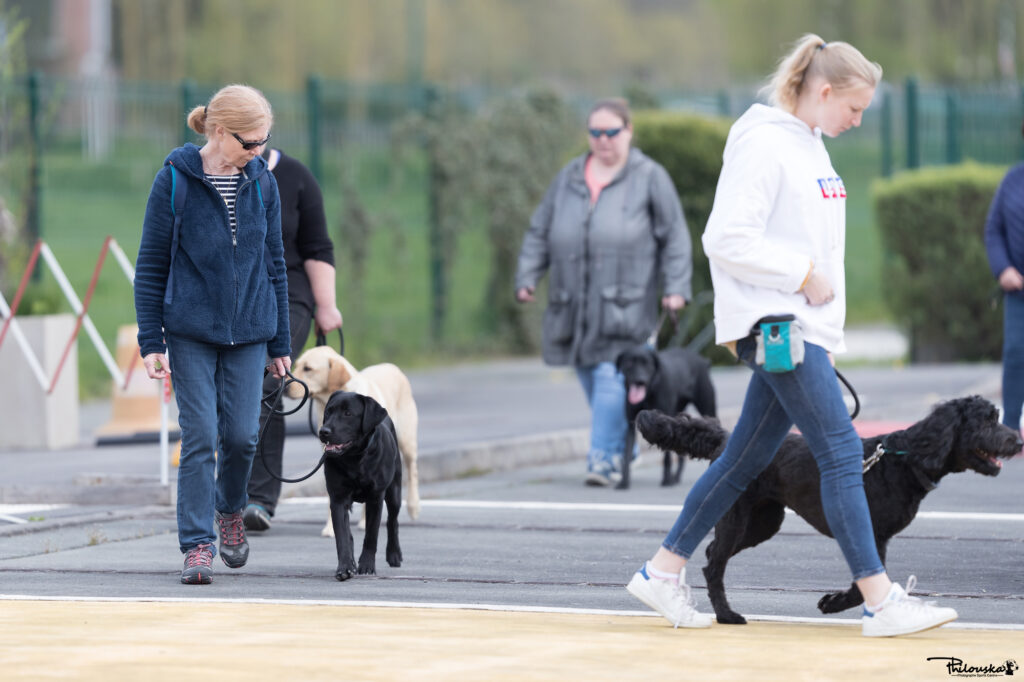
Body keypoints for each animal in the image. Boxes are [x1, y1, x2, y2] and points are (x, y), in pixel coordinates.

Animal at [284, 346, 419, 532]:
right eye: (296, 366)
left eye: (308, 369)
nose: (283, 387)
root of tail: (391, 366)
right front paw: (330, 528)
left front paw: (364, 522)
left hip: (406, 441)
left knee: (412, 470)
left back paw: (413, 506)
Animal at [317, 387, 401, 577]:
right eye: (328, 411)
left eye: (348, 413)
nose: (324, 431)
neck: (354, 459)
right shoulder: (338, 499)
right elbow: (342, 537)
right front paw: (345, 567)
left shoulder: (375, 498)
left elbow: (371, 535)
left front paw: (367, 565)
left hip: (394, 491)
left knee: (392, 521)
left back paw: (394, 555)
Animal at [614, 346, 720, 489]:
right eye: (629, 362)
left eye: (647, 363)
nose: (640, 380)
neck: (648, 393)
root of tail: (702, 360)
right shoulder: (630, 426)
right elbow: (627, 454)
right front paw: (623, 482)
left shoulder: (663, 424)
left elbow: (667, 457)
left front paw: (667, 480)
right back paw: (676, 477)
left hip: (707, 408)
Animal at [634, 393, 1019, 622]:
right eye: (986, 421)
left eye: (997, 416)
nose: (1017, 440)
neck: (904, 459)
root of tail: (726, 441)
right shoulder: (869, 532)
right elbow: (864, 580)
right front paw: (834, 603)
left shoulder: (873, 535)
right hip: (737, 515)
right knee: (714, 563)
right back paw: (727, 614)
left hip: (762, 522)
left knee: (713, 552)